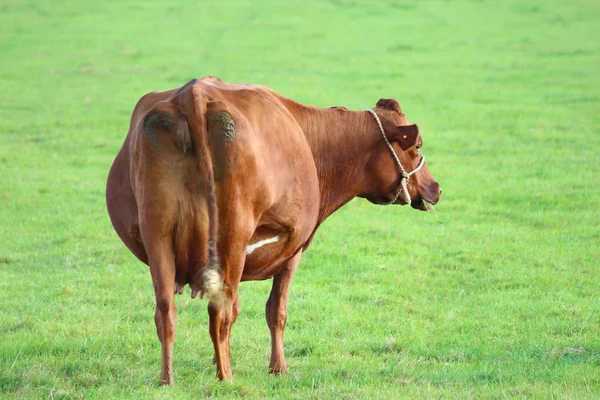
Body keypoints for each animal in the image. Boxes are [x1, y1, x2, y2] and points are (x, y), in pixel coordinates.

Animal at [104, 76, 440, 382]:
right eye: (417, 145)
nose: (435, 187)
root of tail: (194, 93)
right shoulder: (293, 249)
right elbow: (276, 310)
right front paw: (278, 369)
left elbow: (240, 309)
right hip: (231, 235)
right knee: (219, 310)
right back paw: (227, 378)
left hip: (158, 233)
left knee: (166, 309)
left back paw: (168, 379)